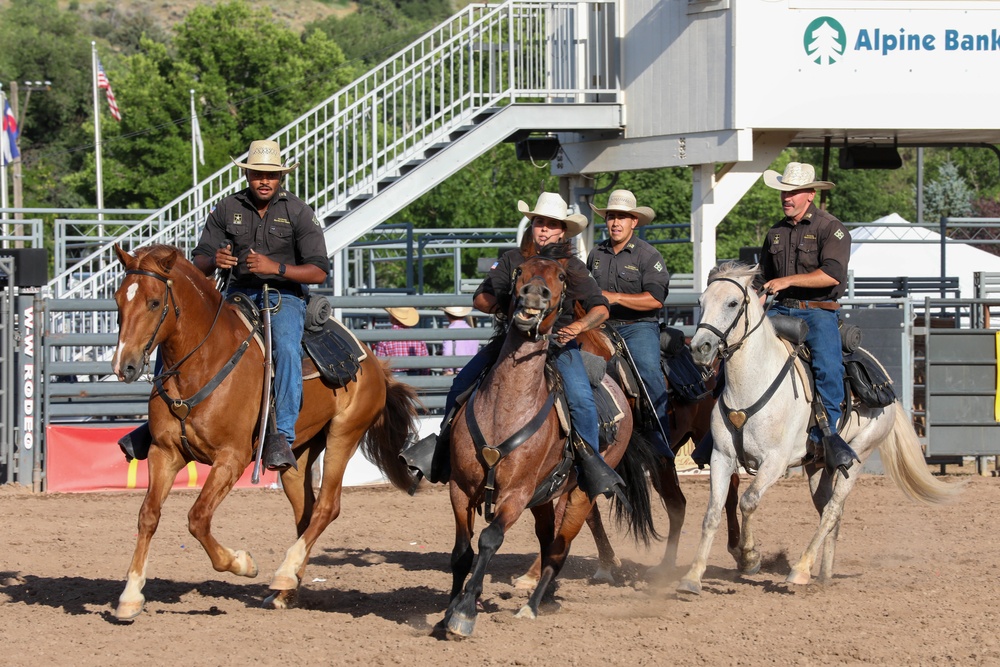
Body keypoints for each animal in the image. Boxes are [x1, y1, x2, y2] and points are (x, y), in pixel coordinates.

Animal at [109, 245, 418, 620]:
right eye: (117, 300)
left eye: (154, 302)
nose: (123, 366)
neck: (202, 363)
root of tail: (375, 364)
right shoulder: (164, 453)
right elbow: (148, 516)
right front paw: (130, 595)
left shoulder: (232, 458)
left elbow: (198, 518)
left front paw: (243, 563)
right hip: (296, 455)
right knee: (306, 514)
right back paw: (287, 588)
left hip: (344, 434)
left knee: (327, 507)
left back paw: (283, 573)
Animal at [442, 248, 660, 640]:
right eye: (518, 270)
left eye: (561, 277)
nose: (533, 295)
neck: (506, 410)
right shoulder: (460, 487)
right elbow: (462, 551)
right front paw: (448, 612)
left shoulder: (516, 495)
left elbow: (489, 540)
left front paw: (465, 611)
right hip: (544, 498)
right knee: (547, 542)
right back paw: (543, 594)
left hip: (579, 494)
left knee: (559, 548)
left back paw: (531, 606)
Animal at [680, 262, 960, 596]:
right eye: (701, 302)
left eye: (732, 303)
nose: (700, 348)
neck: (751, 383)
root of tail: (886, 380)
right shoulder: (721, 457)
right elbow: (712, 512)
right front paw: (693, 576)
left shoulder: (774, 462)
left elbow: (748, 501)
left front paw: (750, 558)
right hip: (817, 466)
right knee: (829, 511)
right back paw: (824, 574)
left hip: (858, 455)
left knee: (831, 511)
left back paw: (800, 570)